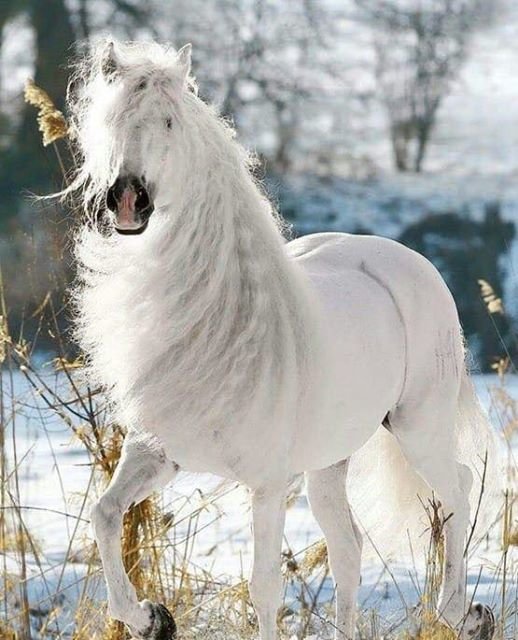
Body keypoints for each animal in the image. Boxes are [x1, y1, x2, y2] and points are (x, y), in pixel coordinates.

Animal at [64, 39, 496, 640]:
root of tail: (409, 261)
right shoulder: (158, 454)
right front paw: (151, 617)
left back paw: (463, 611)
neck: (221, 327)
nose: (129, 199)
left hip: (418, 427)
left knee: (456, 486)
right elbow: (105, 516)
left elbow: (264, 588)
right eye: (110, 121)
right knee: (348, 549)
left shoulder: (268, 486)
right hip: (329, 462)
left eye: (169, 121)